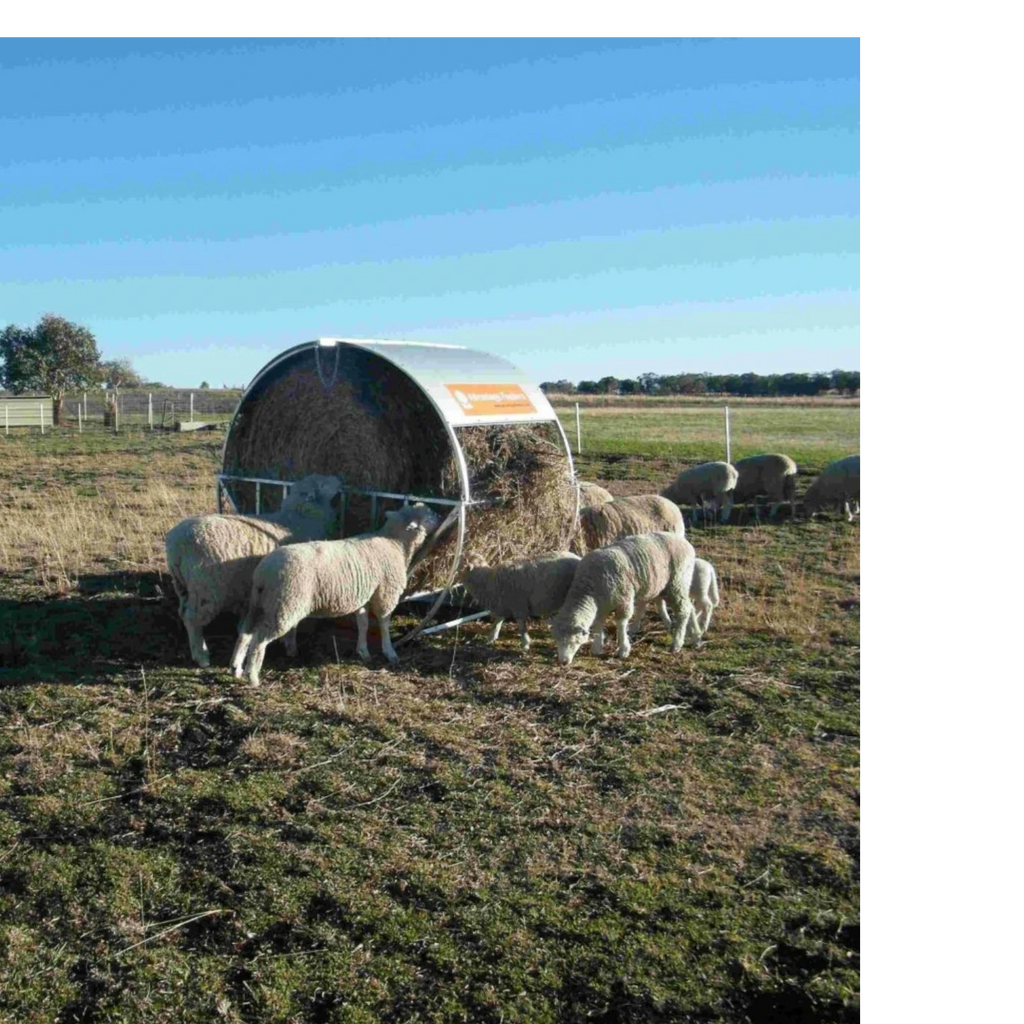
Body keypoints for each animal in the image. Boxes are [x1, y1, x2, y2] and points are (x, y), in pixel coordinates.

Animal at [165, 474, 344, 667]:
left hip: (182, 585)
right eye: (323, 484)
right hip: (207, 590)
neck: (301, 516)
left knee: (183, 612)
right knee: (192, 618)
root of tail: (176, 544)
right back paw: (201, 655)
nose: (341, 484)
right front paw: (290, 646)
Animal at [230, 503, 441, 685]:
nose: (439, 517)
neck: (395, 542)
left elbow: (363, 624)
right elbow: (383, 623)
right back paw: (253, 677)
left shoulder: (363, 596)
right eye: (428, 515)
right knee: (259, 640)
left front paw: (363, 651)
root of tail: (264, 573)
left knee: (245, 633)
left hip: (259, 603)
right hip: (284, 605)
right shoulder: (386, 593)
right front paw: (389, 652)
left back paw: (236, 668)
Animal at [551, 532, 698, 665]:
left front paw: (623, 649)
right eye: (556, 639)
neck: (590, 589)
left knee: (684, 610)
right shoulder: (602, 605)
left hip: (677, 582)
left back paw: (677, 643)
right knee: (690, 606)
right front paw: (597, 647)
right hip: (661, 584)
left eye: (574, 641)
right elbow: (598, 623)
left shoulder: (624, 600)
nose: (563, 662)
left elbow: (621, 623)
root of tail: (685, 542)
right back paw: (695, 636)